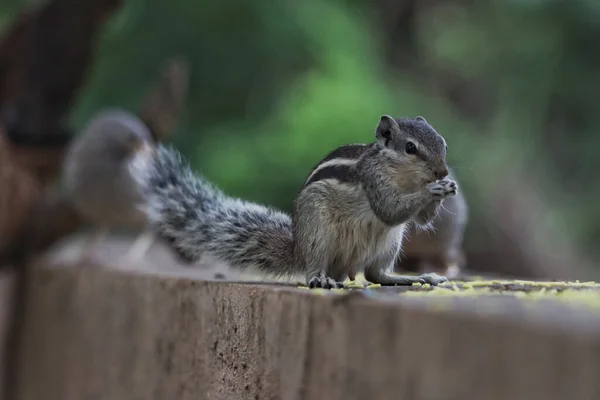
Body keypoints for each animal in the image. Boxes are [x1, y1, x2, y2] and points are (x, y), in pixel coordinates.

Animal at [132, 115, 460, 288]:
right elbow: (388, 210)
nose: (443, 171)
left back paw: (412, 278)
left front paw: (446, 187)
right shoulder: (373, 180)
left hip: (389, 243)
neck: (403, 178)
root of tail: (298, 250)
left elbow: (421, 220)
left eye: (443, 143)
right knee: (319, 269)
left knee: (375, 274)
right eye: (410, 148)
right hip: (317, 232)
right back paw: (321, 280)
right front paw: (433, 190)